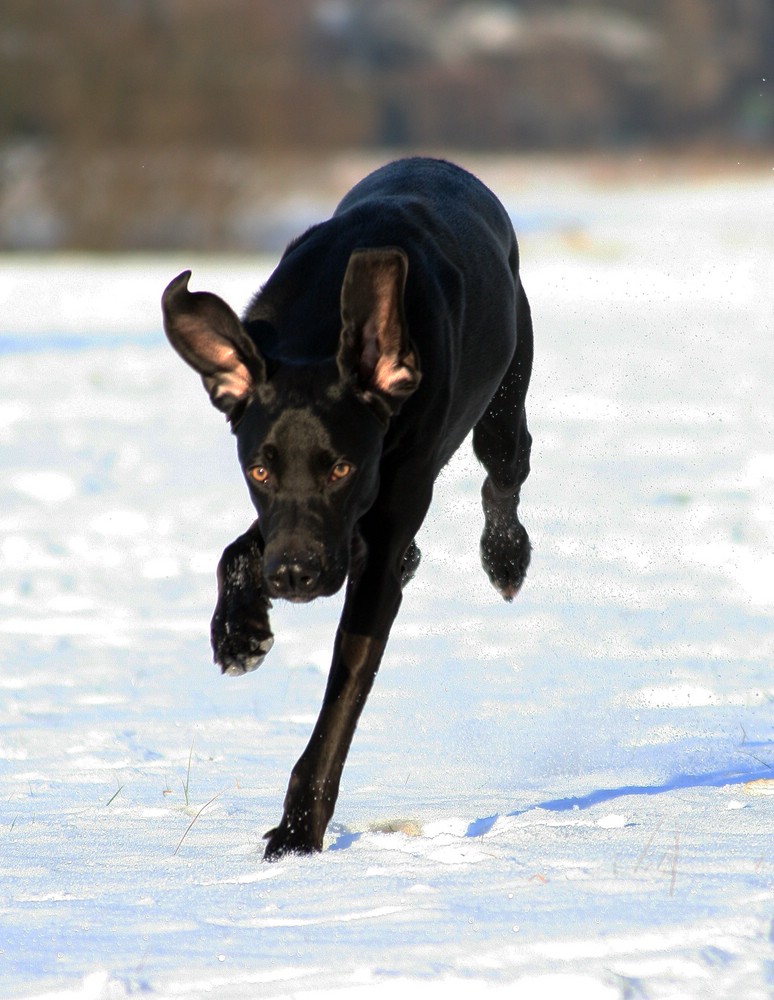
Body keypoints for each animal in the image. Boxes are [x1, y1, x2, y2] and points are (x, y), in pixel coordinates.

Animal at [163, 156, 532, 860]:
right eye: (258, 470)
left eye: (341, 467)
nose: (295, 577)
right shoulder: (299, 523)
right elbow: (239, 547)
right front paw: (239, 630)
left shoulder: (378, 524)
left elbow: (341, 700)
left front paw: (297, 833)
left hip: (505, 393)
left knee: (507, 467)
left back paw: (506, 557)